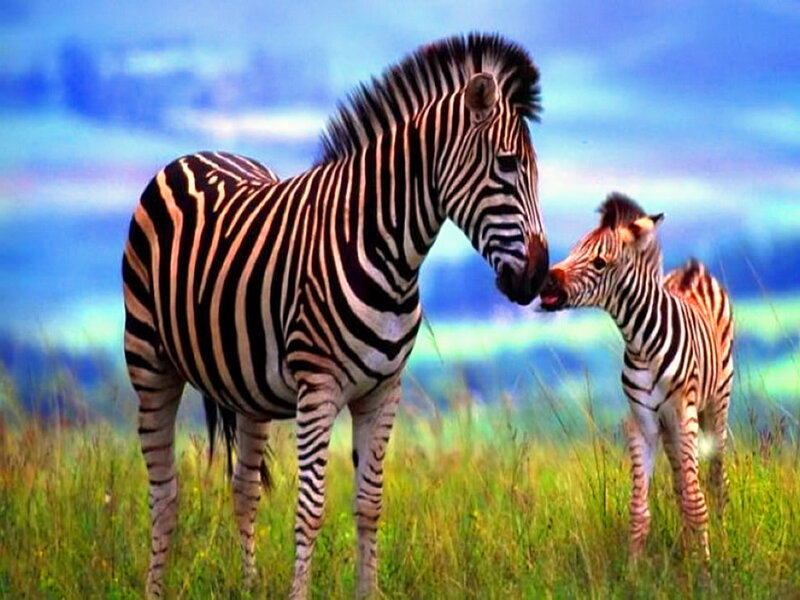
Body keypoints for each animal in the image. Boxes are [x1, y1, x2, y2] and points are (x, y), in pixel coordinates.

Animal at [123, 33, 549, 599]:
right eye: (506, 164)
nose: (538, 277)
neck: (386, 251)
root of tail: (194, 154)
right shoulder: (318, 388)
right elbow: (310, 510)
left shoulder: (384, 390)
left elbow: (369, 505)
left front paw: (368, 592)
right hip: (149, 362)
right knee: (164, 492)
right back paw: (156, 586)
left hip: (247, 388)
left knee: (243, 489)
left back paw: (249, 586)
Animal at [539, 193, 734, 561]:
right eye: (574, 249)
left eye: (600, 263)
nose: (545, 281)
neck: (641, 343)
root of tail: (694, 269)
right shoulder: (643, 422)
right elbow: (640, 509)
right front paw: (634, 568)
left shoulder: (683, 415)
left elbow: (695, 501)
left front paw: (705, 566)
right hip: (669, 426)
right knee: (680, 481)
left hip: (716, 403)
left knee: (715, 476)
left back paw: (719, 527)